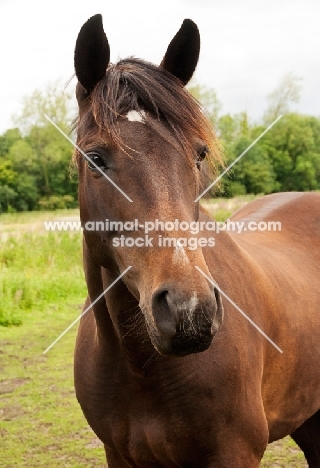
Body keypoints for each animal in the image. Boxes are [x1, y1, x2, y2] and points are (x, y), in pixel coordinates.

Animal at [72, 12, 320, 466]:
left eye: (199, 154)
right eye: (95, 158)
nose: (190, 312)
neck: (141, 367)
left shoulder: (233, 453)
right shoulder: (118, 454)